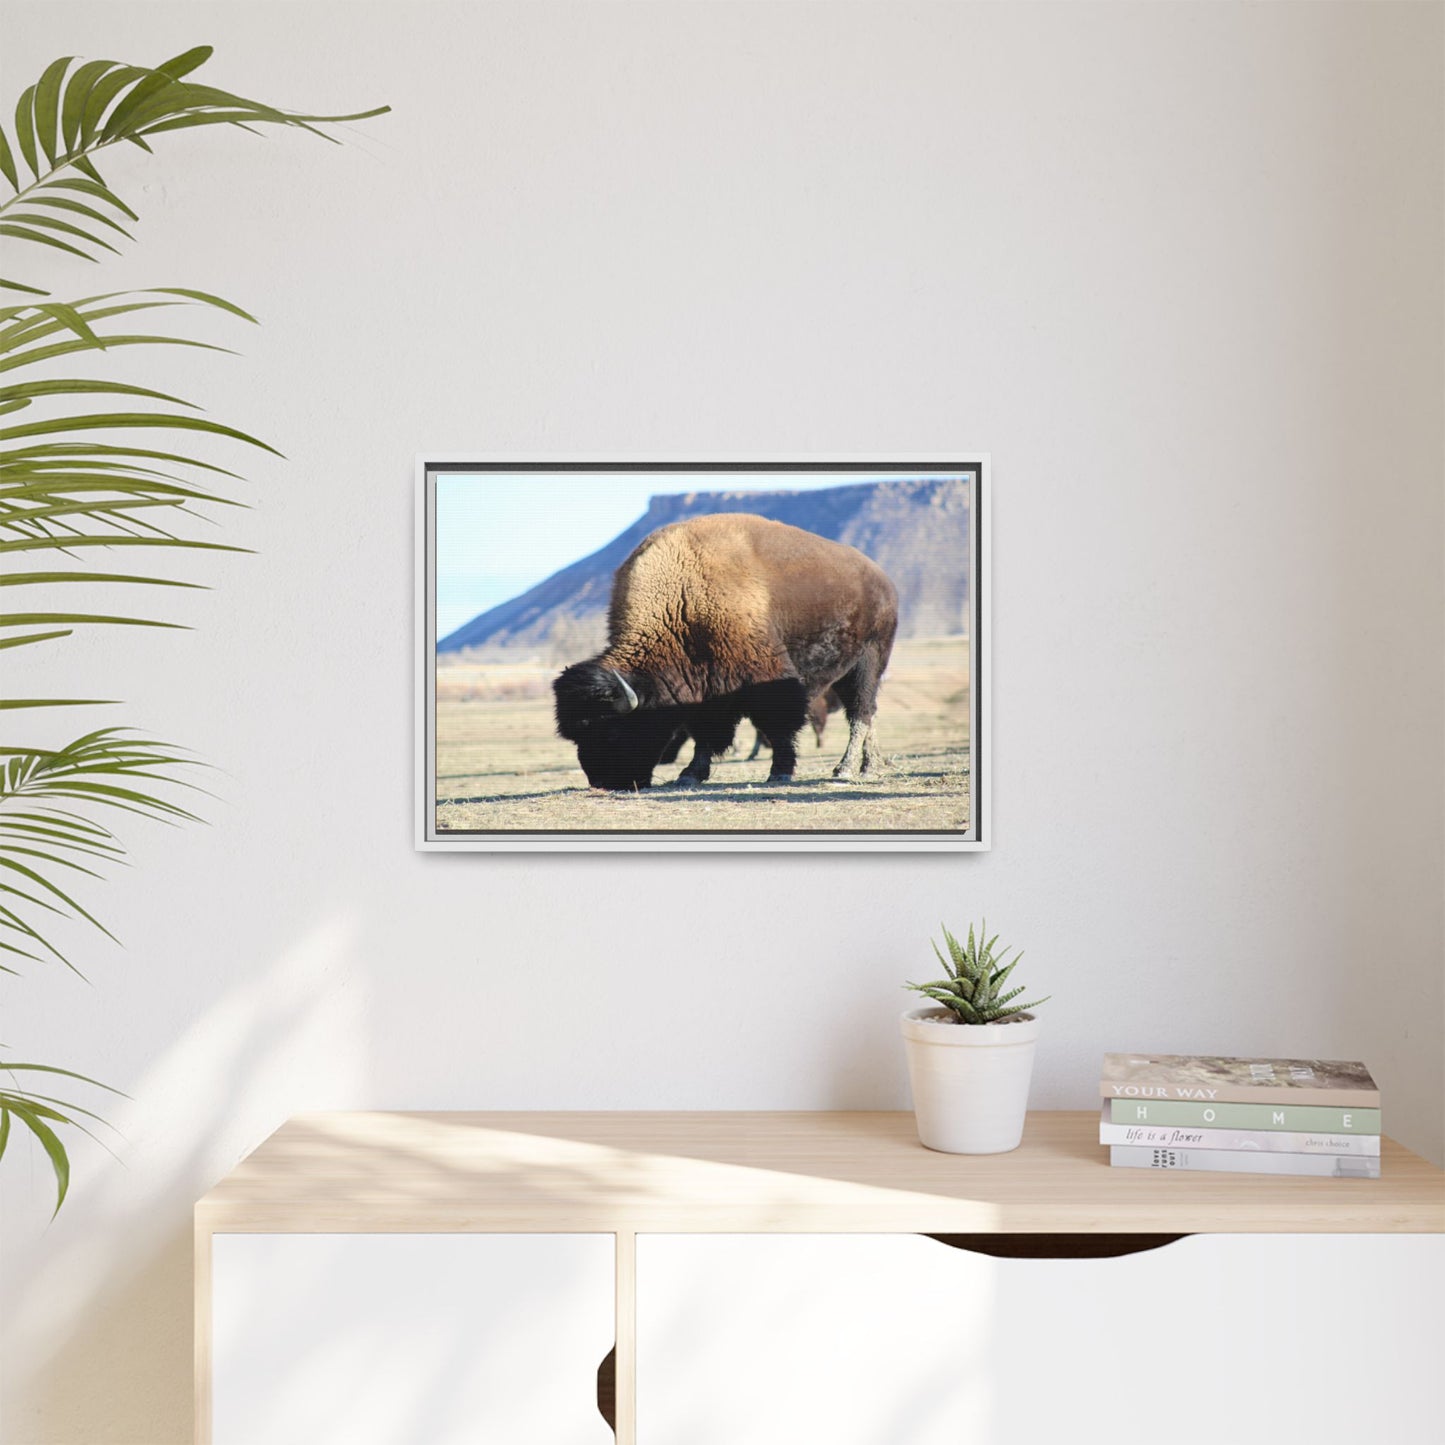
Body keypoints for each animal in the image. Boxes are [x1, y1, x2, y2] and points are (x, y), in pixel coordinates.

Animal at [553, 513, 898, 791]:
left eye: (611, 731)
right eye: (577, 736)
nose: (603, 782)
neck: (681, 600)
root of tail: (882, 579)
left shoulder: (767, 678)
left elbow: (779, 725)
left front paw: (780, 772)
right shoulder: (705, 689)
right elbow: (706, 734)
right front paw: (690, 775)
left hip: (869, 662)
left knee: (860, 712)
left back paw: (848, 769)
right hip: (847, 670)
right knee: (866, 713)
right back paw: (870, 766)